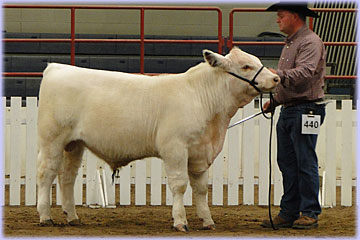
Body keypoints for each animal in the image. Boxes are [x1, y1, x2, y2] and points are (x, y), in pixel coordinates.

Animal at [37, 47, 278, 231]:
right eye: (245, 66)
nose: (276, 78)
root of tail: (56, 68)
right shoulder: (175, 148)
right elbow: (180, 185)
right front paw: (180, 221)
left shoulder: (200, 154)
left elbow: (201, 189)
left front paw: (208, 221)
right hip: (52, 139)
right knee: (46, 174)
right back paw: (45, 216)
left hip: (74, 144)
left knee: (67, 177)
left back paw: (72, 217)